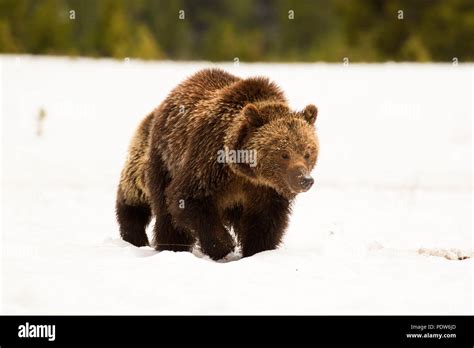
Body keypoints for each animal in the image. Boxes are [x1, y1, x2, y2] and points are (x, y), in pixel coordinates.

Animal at [116, 68, 320, 258]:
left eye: (307, 153)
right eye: (284, 154)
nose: (304, 179)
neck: (243, 170)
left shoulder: (265, 190)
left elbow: (265, 220)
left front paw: (257, 250)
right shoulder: (209, 160)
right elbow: (188, 198)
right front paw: (223, 245)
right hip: (164, 159)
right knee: (163, 211)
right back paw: (170, 246)